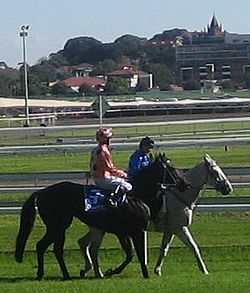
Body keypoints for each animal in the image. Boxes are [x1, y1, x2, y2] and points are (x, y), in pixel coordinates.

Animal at [15, 153, 180, 278]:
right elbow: (134, 254)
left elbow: (130, 254)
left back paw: (53, 274)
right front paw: (132, 273)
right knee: (49, 247)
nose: (183, 182)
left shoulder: (125, 233)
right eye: (171, 168)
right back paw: (59, 274)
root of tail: (42, 192)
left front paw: (111, 271)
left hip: (59, 227)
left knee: (48, 247)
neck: (136, 197)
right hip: (58, 226)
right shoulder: (133, 231)